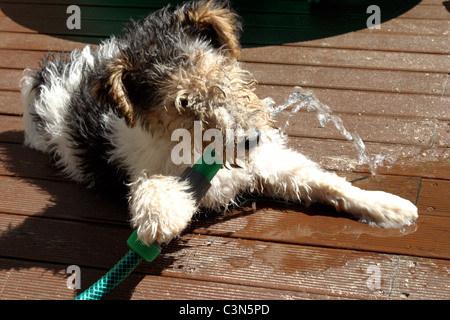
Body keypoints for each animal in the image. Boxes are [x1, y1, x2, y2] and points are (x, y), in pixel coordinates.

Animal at [21, 1, 418, 244]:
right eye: (183, 103)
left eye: (222, 72)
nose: (251, 139)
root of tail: (53, 71)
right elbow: (153, 187)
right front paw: (162, 217)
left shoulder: (267, 163)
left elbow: (329, 183)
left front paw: (390, 208)